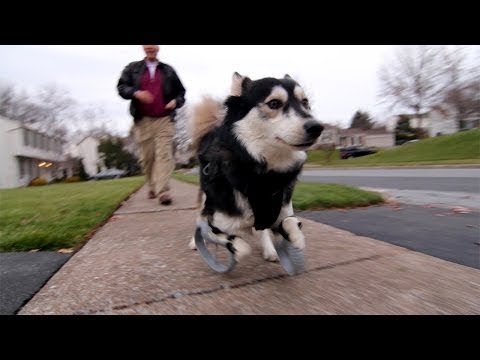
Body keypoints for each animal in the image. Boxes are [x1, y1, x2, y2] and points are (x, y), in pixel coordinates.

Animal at [188, 73, 322, 262]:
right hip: (206, 197)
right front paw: (234, 248)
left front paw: (295, 238)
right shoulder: (214, 222)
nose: (317, 127)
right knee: (199, 218)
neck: (263, 174)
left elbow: (290, 222)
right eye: (274, 103)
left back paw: (269, 249)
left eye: (305, 102)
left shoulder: (279, 211)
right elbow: (240, 246)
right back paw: (195, 242)